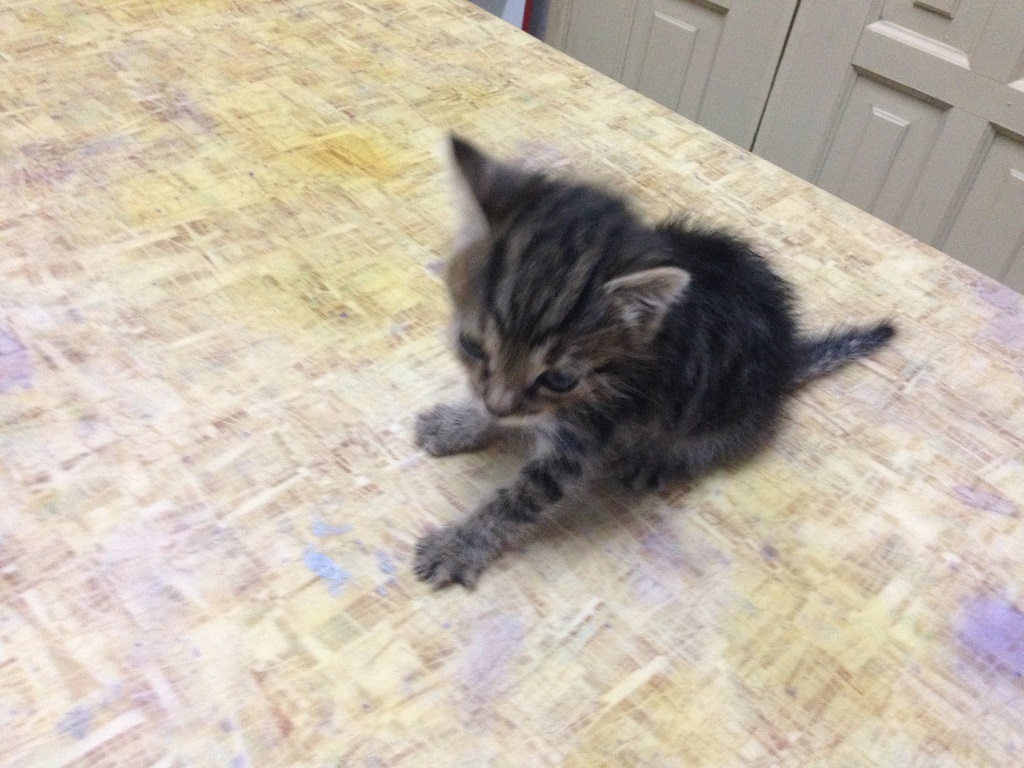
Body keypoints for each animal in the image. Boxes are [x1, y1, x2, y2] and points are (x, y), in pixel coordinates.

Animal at [413, 135, 895, 589]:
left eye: (560, 379)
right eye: (471, 346)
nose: (498, 407)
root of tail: (786, 359)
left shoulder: (590, 431)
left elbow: (520, 498)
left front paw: (460, 544)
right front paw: (460, 423)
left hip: (721, 413)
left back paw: (657, 457)